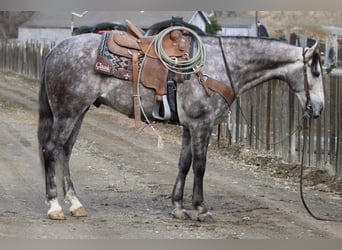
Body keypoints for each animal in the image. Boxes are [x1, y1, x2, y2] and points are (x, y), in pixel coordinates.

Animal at [37, 32, 324, 220]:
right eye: (317, 72)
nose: (318, 109)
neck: (221, 65)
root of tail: (56, 49)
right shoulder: (202, 125)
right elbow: (200, 166)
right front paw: (200, 208)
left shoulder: (189, 126)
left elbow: (184, 164)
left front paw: (178, 206)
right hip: (68, 111)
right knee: (51, 149)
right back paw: (54, 206)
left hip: (79, 111)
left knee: (65, 150)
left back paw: (75, 203)